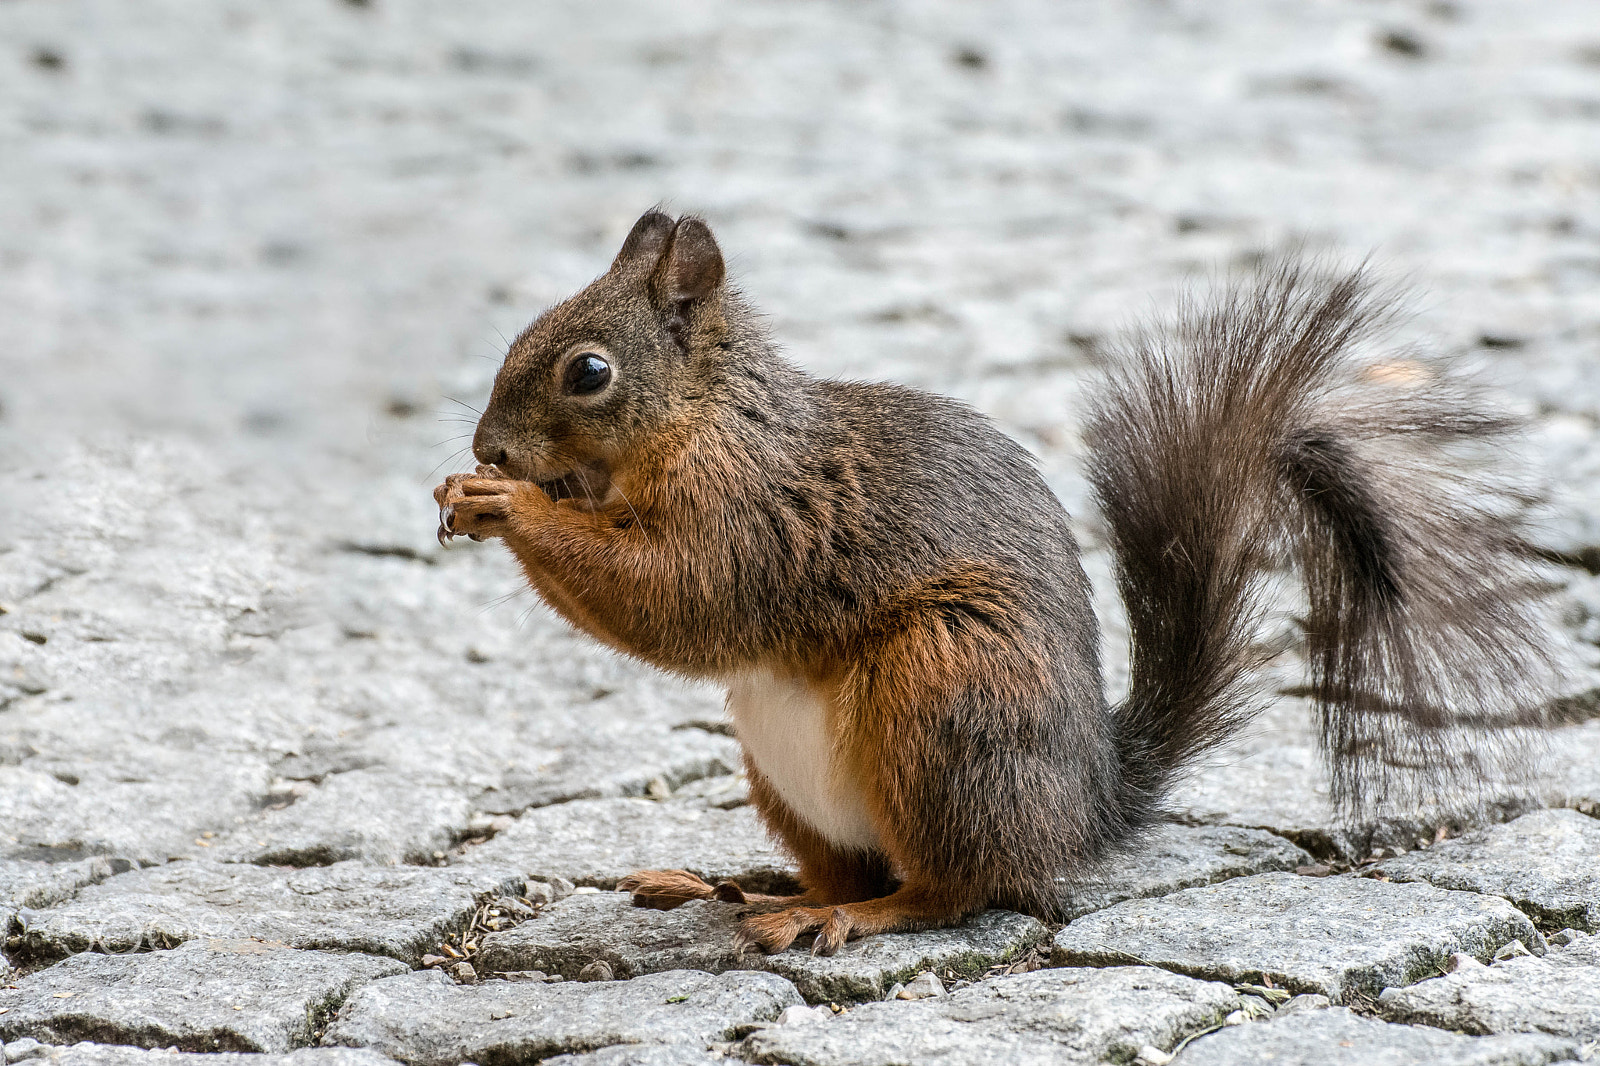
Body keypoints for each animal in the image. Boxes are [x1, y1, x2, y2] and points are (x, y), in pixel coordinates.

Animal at [435, 211, 1559, 956]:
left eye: (588, 372)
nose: (490, 446)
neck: (708, 417)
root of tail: (1085, 806)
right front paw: (468, 490)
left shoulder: (752, 514)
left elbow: (678, 594)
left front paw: (506, 503)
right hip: (792, 767)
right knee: (864, 860)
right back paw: (736, 887)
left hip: (943, 695)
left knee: (953, 889)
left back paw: (840, 913)